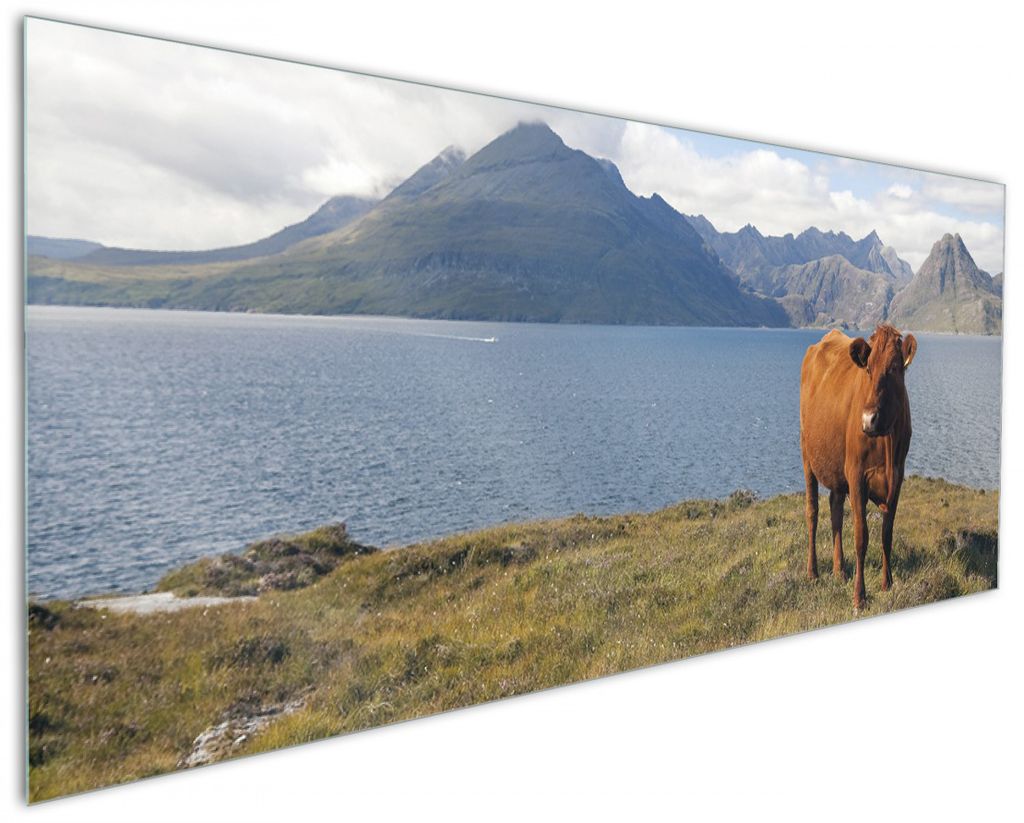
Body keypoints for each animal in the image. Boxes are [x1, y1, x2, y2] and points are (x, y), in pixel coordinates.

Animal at [799, 324, 917, 610]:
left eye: (895, 368)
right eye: (868, 369)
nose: (868, 420)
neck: (886, 443)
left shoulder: (898, 477)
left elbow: (887, 534)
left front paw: (887, 584)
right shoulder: (856, 475)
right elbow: (861, 536)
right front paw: (859, 597)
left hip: (836, 468)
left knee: (835, 510)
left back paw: (839, 570)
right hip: (807, 456)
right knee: (812, 512)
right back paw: (813, 572)